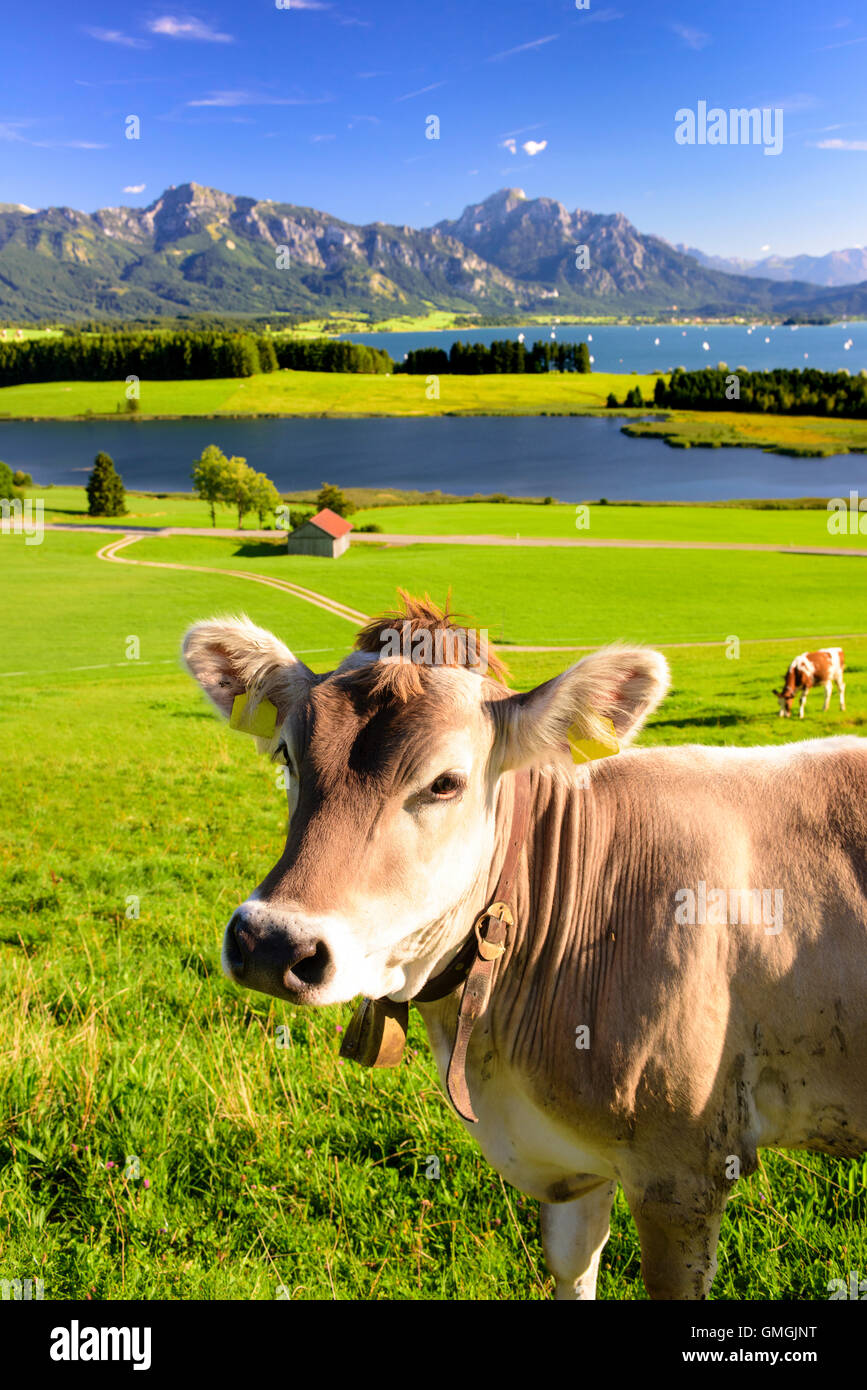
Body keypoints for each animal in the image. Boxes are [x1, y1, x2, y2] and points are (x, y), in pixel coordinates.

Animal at [183, 600, 867, 1301]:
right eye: (287, 756)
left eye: (445, 783)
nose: (270, 943)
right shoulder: (573, 1165)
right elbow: (572, 1264)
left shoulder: (682, 1172)